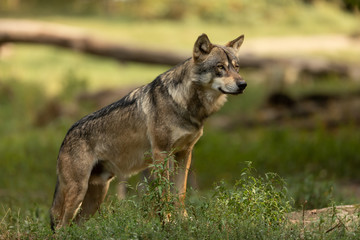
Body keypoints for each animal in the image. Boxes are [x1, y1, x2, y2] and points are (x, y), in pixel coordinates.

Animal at [49, 32, 246, 230]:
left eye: (236, 67)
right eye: (220, 67)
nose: (243, 84)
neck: (185, 104)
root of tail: (66, 136)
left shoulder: (184, 153)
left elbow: (180, 192)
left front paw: (183, 221)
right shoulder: (161, 153)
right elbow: (164, 193)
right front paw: (168, 222)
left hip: (96, 197)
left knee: (75, 226)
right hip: (79, 192)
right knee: (61, 227)